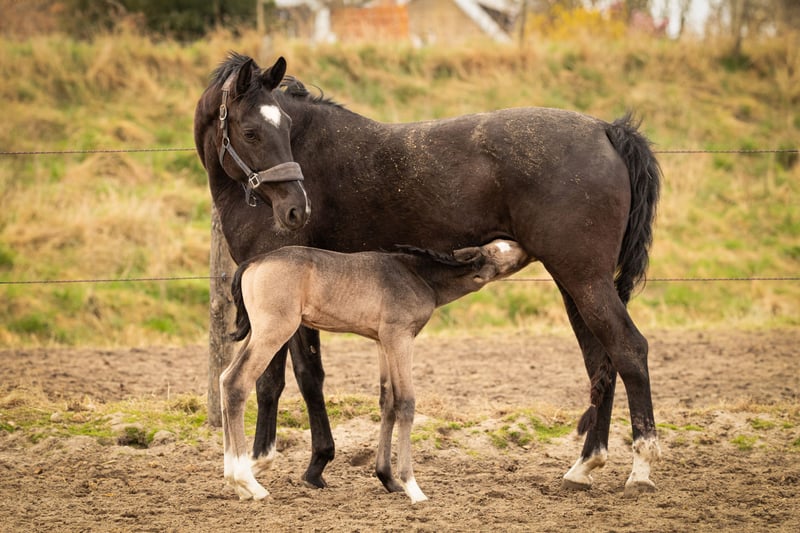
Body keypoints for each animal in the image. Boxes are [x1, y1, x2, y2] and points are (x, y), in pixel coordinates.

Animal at [221, 239, 529, 502]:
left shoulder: (382, 342)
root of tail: (253, 262)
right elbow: (406, 402)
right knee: (237, 383)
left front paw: (387, 479)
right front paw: (412, 487)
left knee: (224, 378)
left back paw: (235, 482)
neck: (417, 275)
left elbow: (387, 401)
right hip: (274, 331)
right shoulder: (400, 337)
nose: (522, 245)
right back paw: (250, 484)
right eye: (496, 249)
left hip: (258, 333)